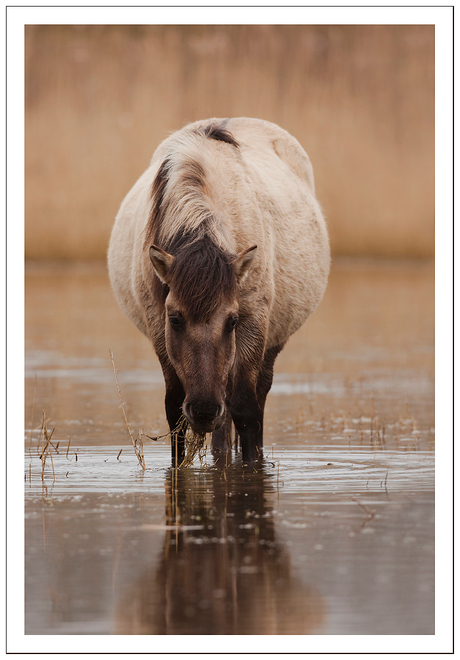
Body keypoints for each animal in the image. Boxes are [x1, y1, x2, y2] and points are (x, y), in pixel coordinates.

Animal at [108, 117, 330, 464]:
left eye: (232, 321)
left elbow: (246, 409)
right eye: (174, 319)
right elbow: (175, 410)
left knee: (255, 396)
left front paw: (251, 463)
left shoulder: (253, 322)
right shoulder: (158, 329)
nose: (203, 411)